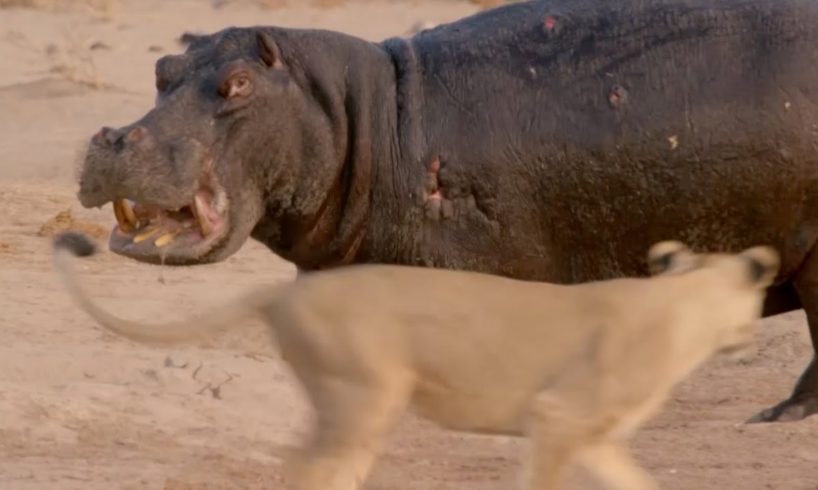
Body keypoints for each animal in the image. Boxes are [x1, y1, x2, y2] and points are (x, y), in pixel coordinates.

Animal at [51, 231, 776, 490]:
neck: (683, 300)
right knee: (313, 473)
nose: (751, 339)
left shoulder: (594, 439)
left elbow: (639, 484)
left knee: (308, 467)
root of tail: (285, 290)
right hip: (368, 398)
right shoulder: (558, 415)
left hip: (348, 405)